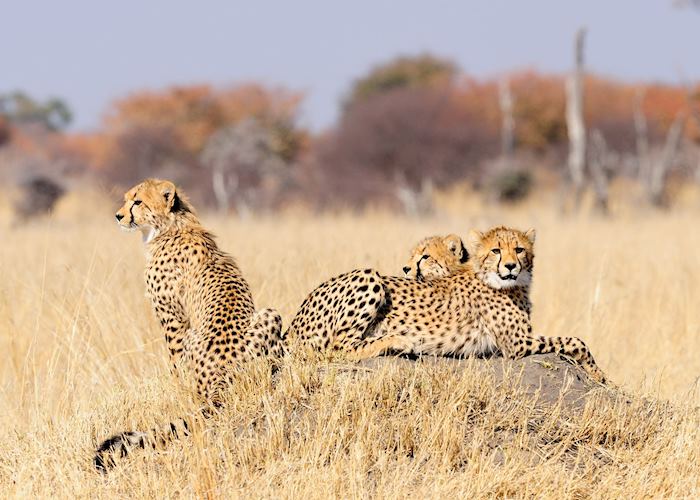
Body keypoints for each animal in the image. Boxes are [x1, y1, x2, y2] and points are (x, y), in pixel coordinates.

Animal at [94, 178, 284, 470]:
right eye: (126, 199)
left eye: (137, 202)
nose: (118, 216)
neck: (171, 226)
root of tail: (222, 378)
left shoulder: (173, 318)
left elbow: (175, 365)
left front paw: (176, 389)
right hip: (270, 314)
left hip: (198, 334)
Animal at [284, 227, 608, 382]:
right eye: (496, 251)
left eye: (518, 249)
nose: (511, 266)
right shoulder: (516, 344)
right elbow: (575, 340)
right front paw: (598, 374)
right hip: (368, 276)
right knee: (338, 348)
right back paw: (398, 341)